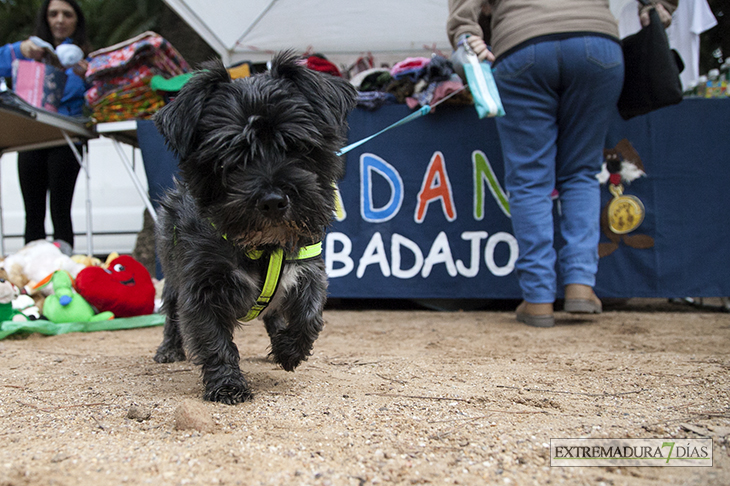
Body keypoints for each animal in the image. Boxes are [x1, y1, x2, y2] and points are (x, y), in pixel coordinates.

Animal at [152, 51, 356, 404]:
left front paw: (289, 351)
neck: (261, 247)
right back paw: (169, 349)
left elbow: (310, 316)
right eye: (230, 156)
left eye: (296, 146)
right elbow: (214, 341)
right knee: (171, 312)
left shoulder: (309, 270)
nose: (273, 201)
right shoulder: (200, 288)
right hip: (173, 275)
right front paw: (227, 385)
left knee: (274, 314)